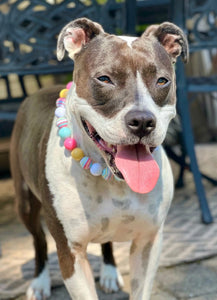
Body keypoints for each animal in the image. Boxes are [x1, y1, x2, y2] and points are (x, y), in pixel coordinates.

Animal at [9, 18, 187, 300]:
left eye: (162, 81)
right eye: (104, 79)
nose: (142, 121)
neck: (112, 179)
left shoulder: (148, 242)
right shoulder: (70, 253)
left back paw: (110, 272)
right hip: (25, 202)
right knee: (38, 240)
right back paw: (40, 281)